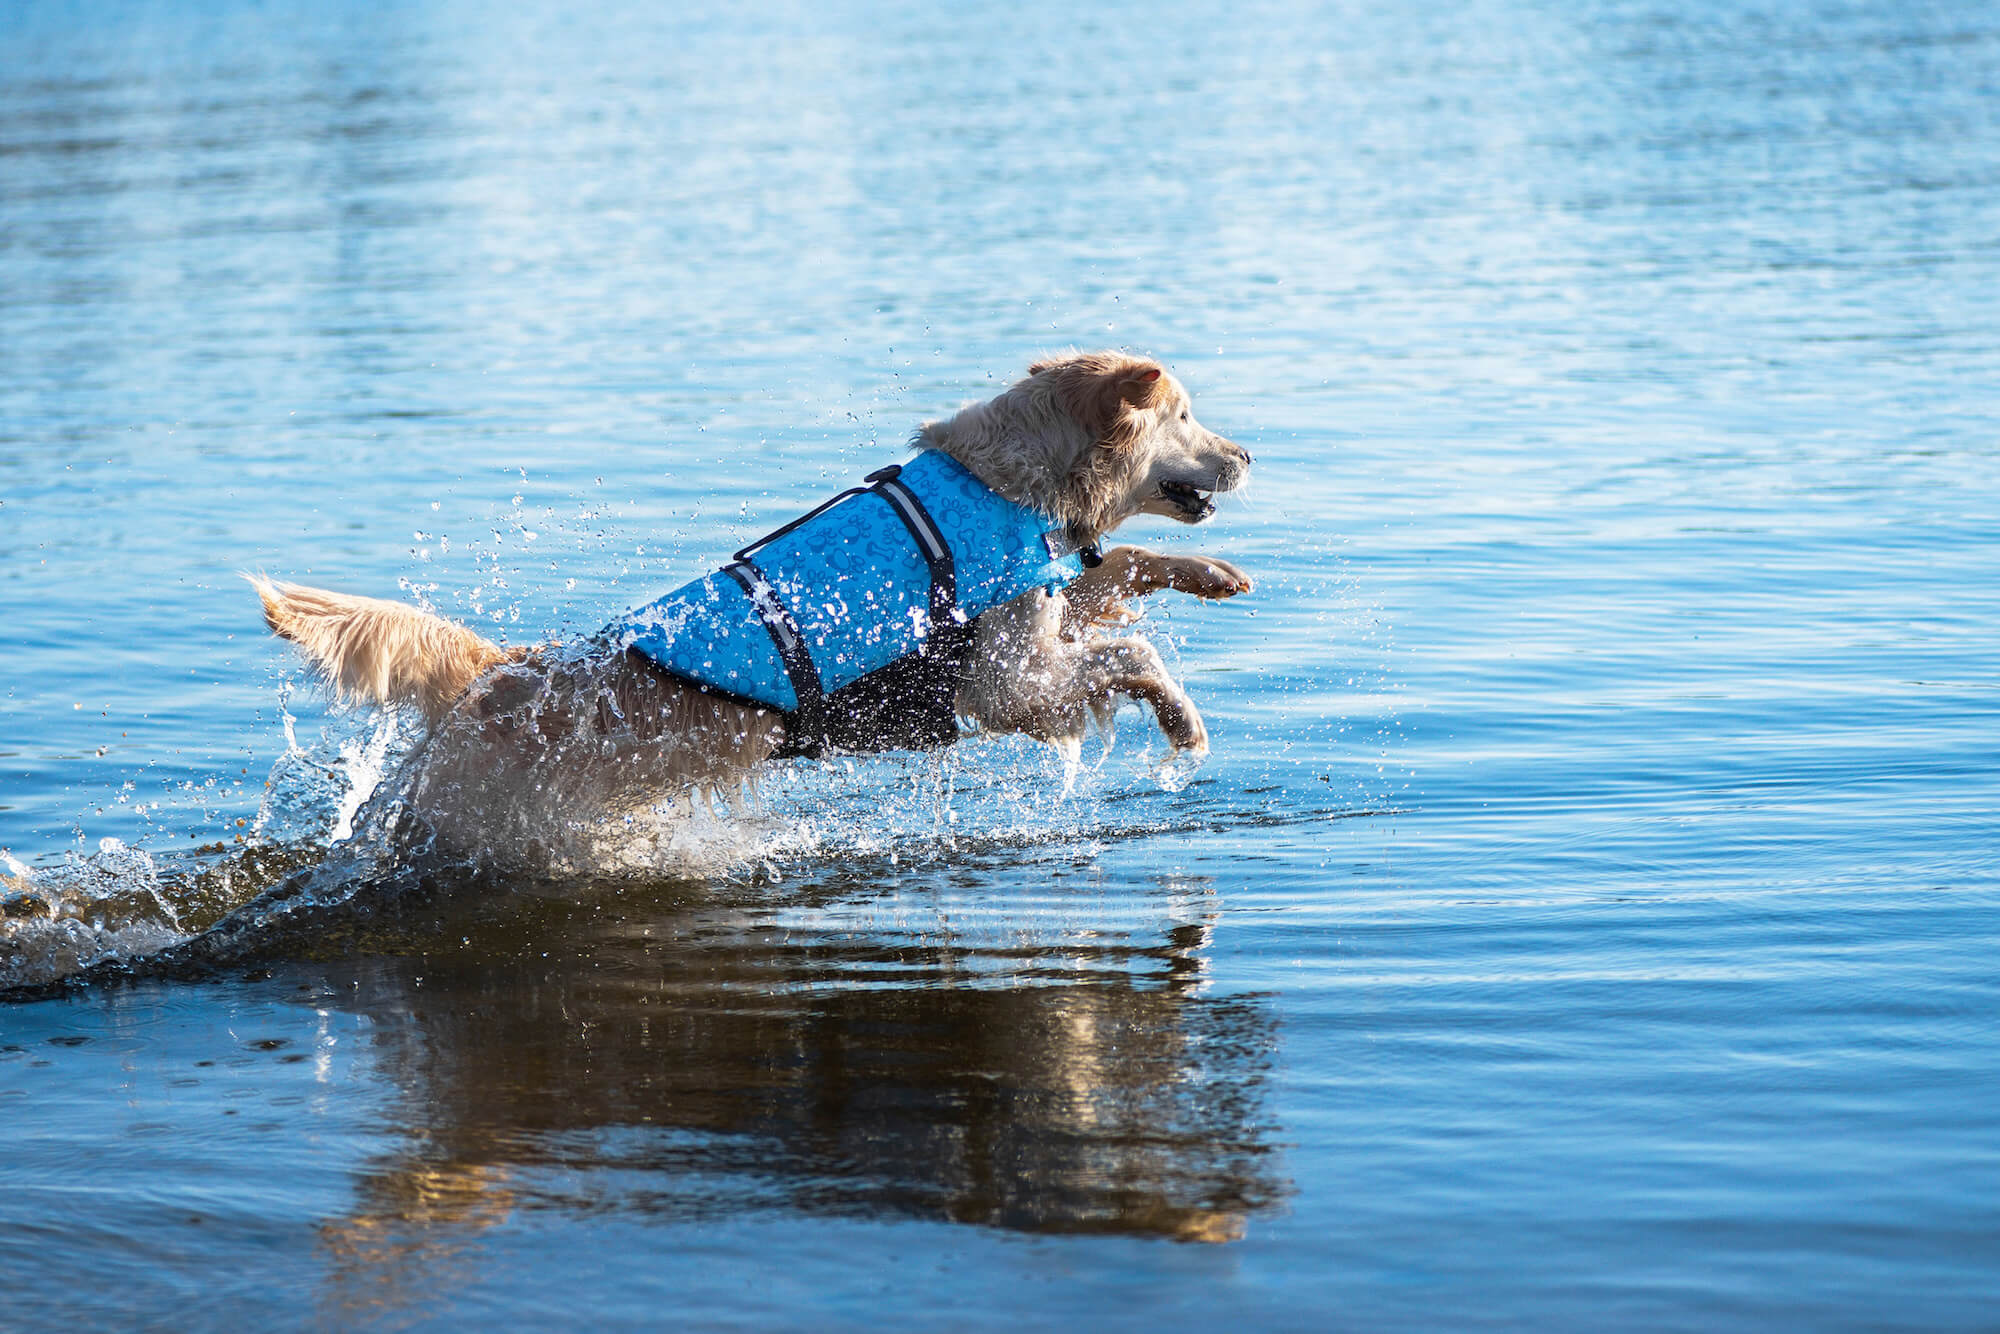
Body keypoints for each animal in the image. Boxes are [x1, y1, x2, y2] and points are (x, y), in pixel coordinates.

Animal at [250, 350, 1248, 860]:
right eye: (1187, 417)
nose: (1248, 456)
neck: (1000, 482)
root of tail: (501, 672)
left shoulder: (1034, 620)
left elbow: (1114, 571)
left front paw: (1213, 574)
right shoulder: (1010, 684)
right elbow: (1131, 655)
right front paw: (1184, 722)